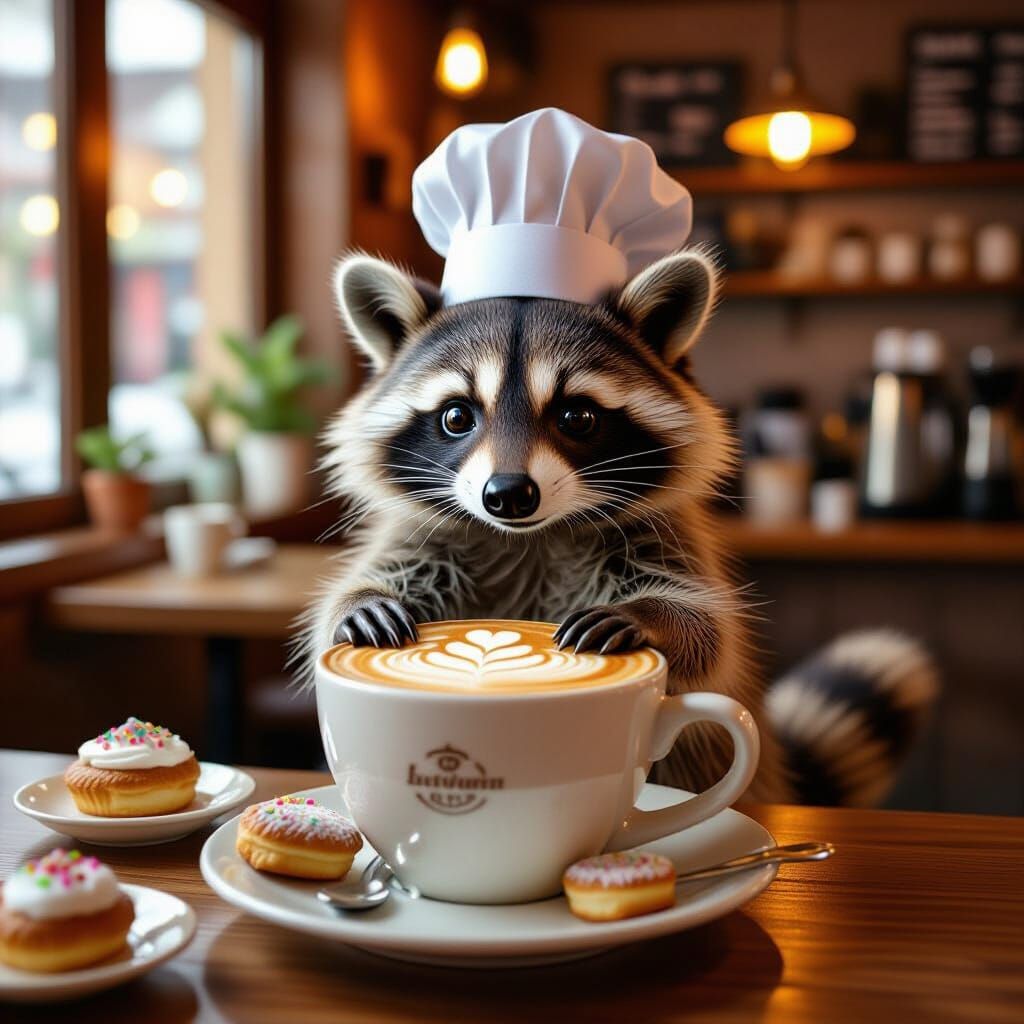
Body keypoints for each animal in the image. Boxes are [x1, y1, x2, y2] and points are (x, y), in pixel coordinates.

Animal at [303, 248, 937, 807]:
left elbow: (707, 628)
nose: (508, 495)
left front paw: (649, 616)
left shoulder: (668, 537)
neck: (531, 538)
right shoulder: (423, 534)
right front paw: (360, 603)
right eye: (457, 416)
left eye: (577, 416)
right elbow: (366, 584)